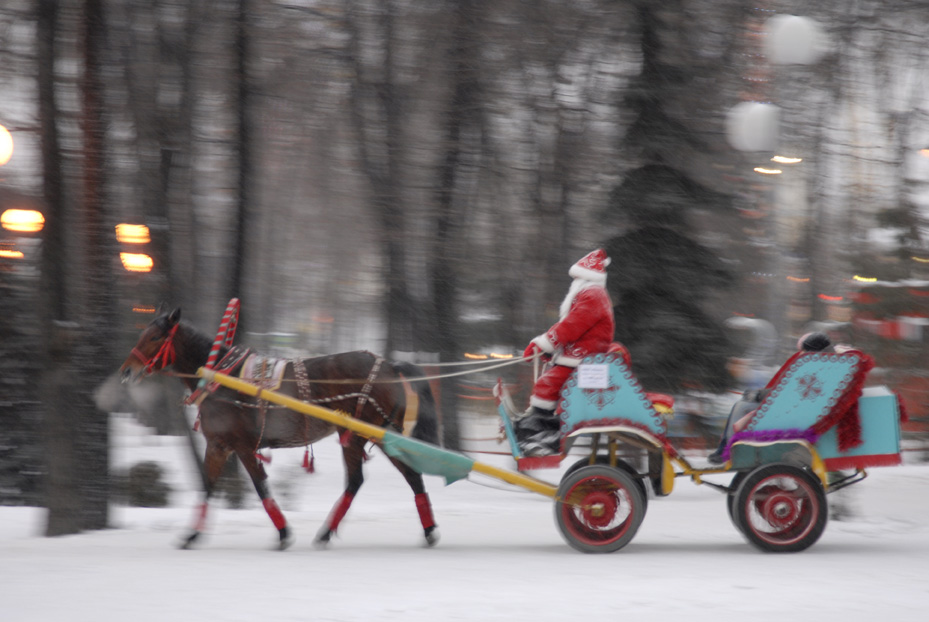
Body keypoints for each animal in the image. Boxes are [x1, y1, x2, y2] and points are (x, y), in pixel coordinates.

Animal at [118, 308, 440, 552]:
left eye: (155, 337)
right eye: (142, 334)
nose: (126, 370)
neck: (221, 377)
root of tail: (389, 364)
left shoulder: (242, 446)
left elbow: (262, 488)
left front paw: (284, 533)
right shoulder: (219, 445)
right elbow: (207, 486)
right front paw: (191, 535)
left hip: (374, 433)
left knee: (402, 476)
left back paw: (427, 530)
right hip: (361, 436)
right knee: (366, 480)